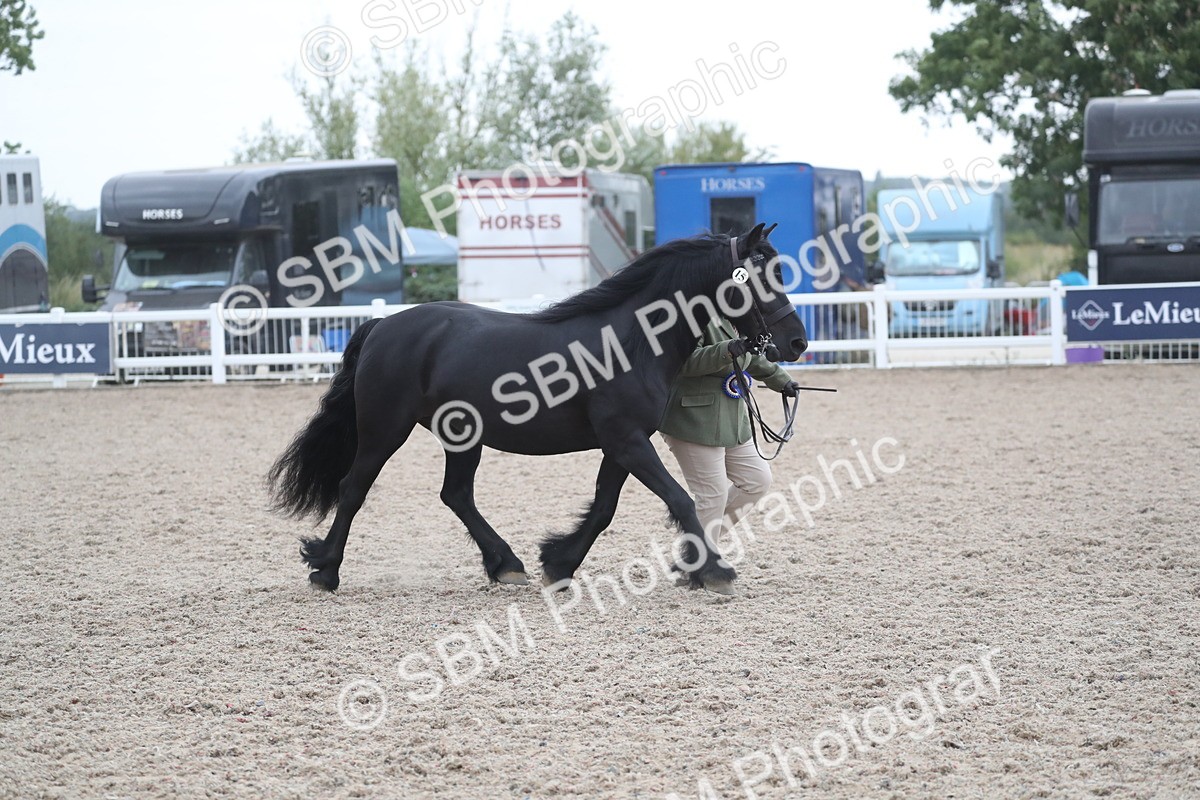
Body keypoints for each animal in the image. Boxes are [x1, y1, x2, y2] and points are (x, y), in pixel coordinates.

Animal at [267, 222, 808, 595]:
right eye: (763, 275)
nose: (797, 342)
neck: (630, 341)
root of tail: (383, 325)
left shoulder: (623, 443)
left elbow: (604, 508)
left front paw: (558, 562)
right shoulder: (627, 440)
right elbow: (679, 499)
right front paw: (715, 571)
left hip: (461, 436)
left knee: (456, 495)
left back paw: (506, 565)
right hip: (385, 430)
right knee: (353, 489)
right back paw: (326, 569)